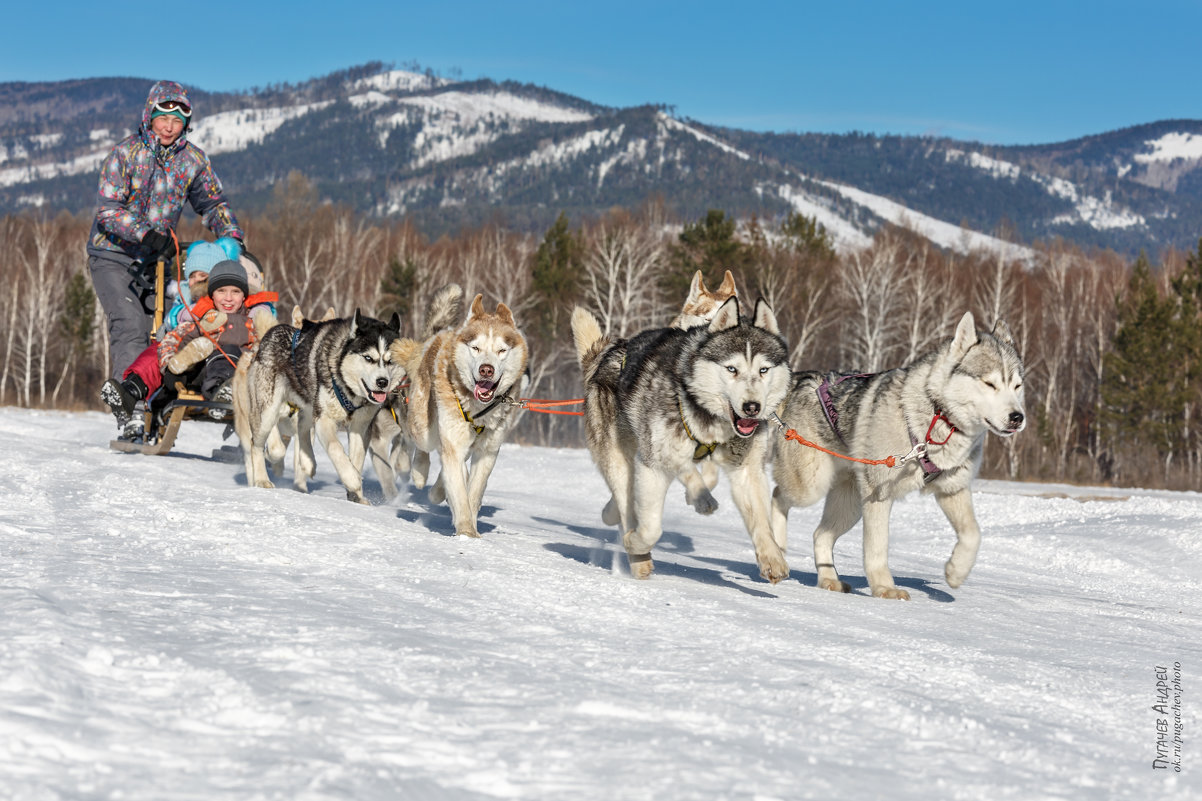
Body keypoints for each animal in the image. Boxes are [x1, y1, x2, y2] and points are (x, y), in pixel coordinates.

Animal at [236, 307, 411, 502]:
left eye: (390, 361)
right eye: (368, 358)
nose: (382, 382)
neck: (349, 390)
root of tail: (271, 333)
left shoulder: (361, 426)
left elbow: (356, 459)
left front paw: (356, 496)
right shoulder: (324, 419)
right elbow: (336, 449)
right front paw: (352, 479)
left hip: (307, 407)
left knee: (302, 429)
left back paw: (308, 462)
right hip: (268, 412)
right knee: (256, 445)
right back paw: (261, 479)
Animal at [391, 287, 528, 536]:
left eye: (501, 350)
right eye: (476, 348)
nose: (486, 370)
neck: (479, 412)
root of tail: (436, 337)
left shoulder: (487, 453)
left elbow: (472, 493)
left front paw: (470, 526)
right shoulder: (453, 443)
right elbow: (460, 494)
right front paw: (466, 533)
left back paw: (438, 489)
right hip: (424, 426)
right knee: (422, 447)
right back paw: (419, 472)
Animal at [769, 307, 1024, 596]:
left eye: (1017, 386)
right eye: (989, 384)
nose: (1017, 417)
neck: (937, 418)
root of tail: (801, 378)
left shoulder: (952, 489)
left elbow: (973, 534)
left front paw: (956, 571)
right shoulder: (879, 495)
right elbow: (877, 547)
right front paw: (884, 588)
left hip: (849, 505)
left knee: (819, 535)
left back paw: (828, 579)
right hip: (811, 486)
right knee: (777, 495)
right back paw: (777, 547)